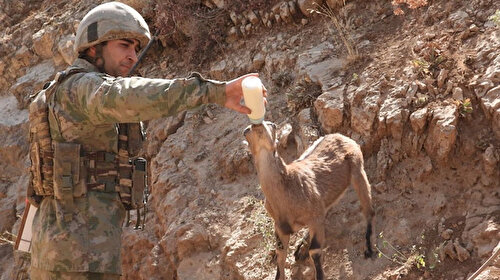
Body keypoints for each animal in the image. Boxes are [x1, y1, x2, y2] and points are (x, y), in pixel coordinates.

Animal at [244, 121, 374, 280]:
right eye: (246, 131)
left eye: (272, 125)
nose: (256, 125)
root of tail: (340, 136)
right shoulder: (280, 226)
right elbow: (280, 254)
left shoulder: (315, 218)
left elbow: (315, 250)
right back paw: (301, 247)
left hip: (357, 169)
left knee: (369, 209)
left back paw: (368, 247)